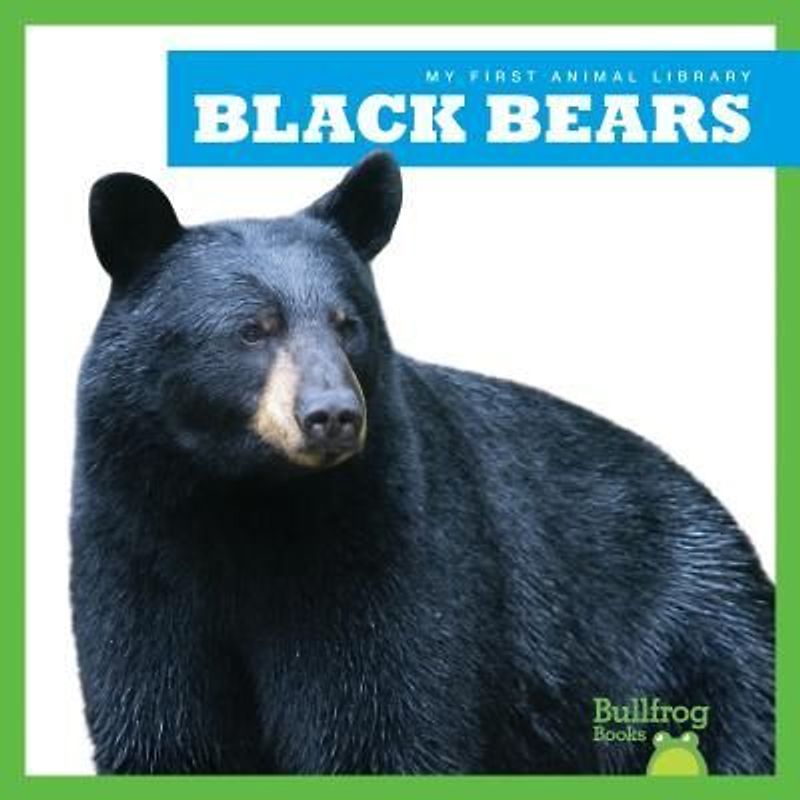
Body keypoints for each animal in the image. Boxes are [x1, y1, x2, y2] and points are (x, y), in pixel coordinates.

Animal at [71, 151, 774, 775]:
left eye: (348, 322)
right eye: (253, 329)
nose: (332, 414)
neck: (250, 499)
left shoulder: (388, 545)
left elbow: (384, 716)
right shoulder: (135, 549)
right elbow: (161, 724)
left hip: (699, 651)